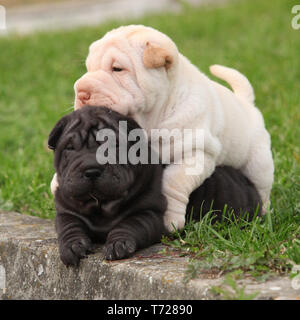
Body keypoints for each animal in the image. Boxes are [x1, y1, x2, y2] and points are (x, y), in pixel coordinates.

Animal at [51, 24, 274, 230]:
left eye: (117, 69)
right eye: (89, 68)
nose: (80, 91)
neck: (152, 119)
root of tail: (246, 102)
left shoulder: (196, 154)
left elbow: (172, 182)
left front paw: (169, 220)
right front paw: (57, 182)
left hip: (258, 162)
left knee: (263, 188)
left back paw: (264, 213)